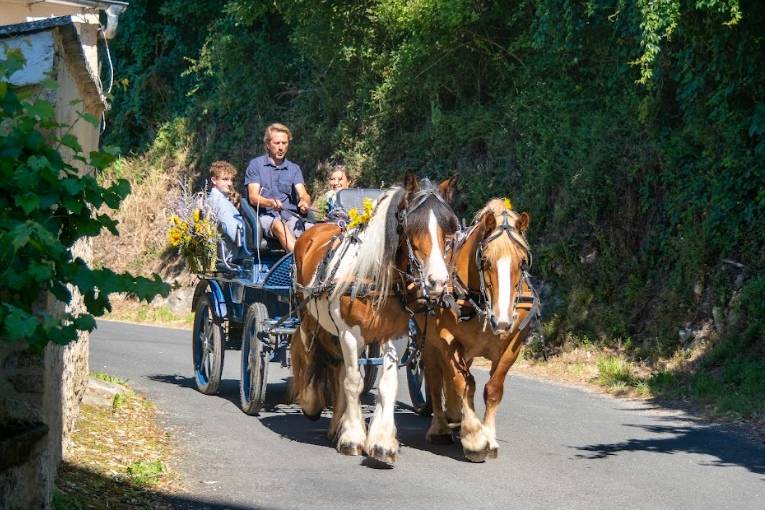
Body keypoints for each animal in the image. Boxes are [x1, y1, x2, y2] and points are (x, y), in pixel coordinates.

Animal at [290, 174, 456, 466]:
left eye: (447, 232)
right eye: (412, 228)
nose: (437, 282)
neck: (375, 277)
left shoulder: (395, 336)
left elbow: (387, 385)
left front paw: (381, 442)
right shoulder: (349, 333)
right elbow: (354, 382)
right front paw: (353, 438)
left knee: (336, 367)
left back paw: (337, 425)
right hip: (311, 316)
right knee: (307, 348)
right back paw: (312, 403)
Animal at [418, 198, 536, 462]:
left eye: (523, 261)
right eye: (485, 261)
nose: (502, 321)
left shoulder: (513, 343)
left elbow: (493, 389)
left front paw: (488, 437)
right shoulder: (446, 338)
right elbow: (464, 383)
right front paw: (474, 438)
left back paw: (454, 417)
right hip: (429, 340)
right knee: (433, 376)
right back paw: (441, 427)